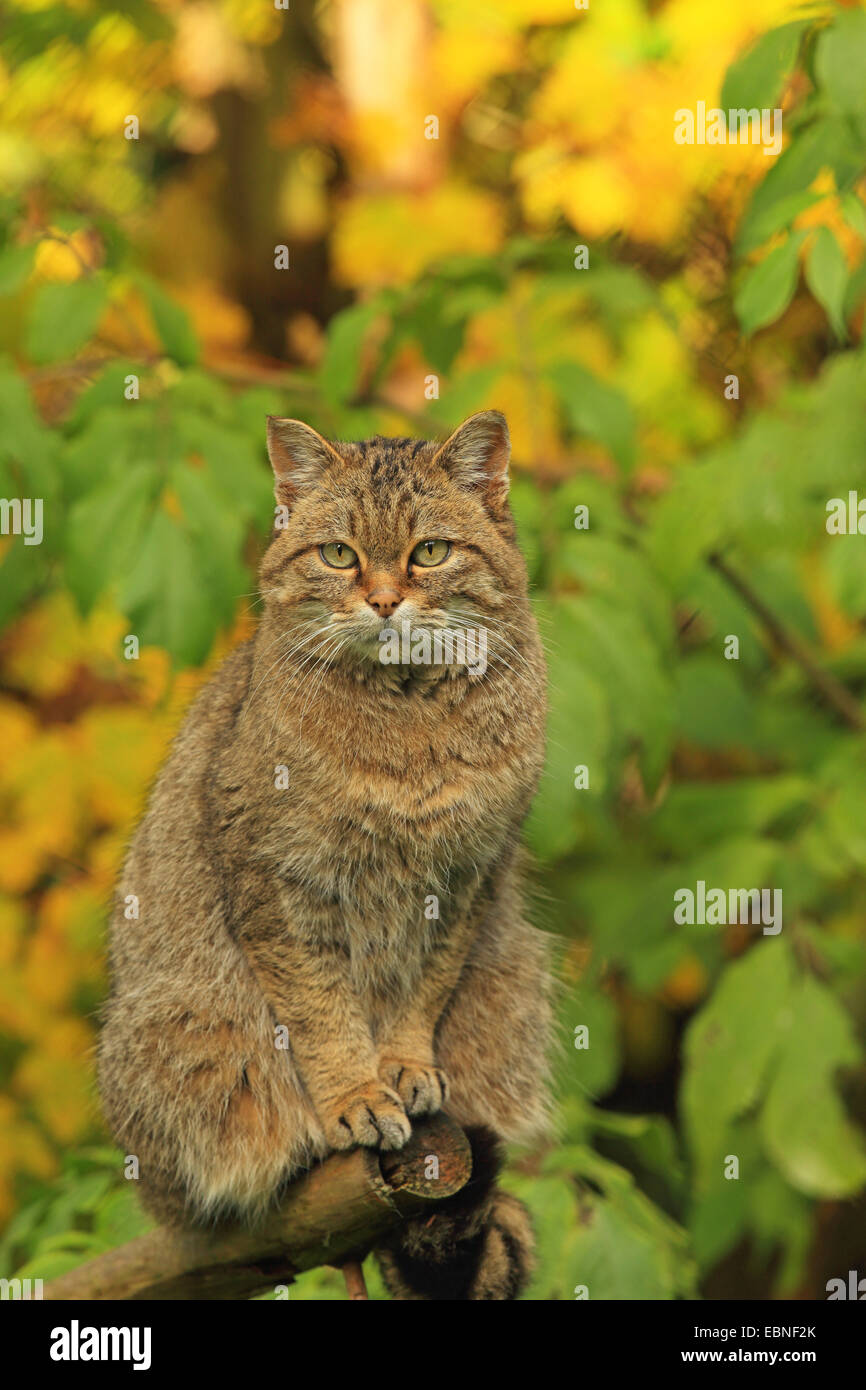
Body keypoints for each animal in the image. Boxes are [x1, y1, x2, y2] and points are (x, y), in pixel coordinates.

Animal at [96, 405, 556, 1295]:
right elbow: (320, 1009)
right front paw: (353, 1096)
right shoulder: (276, 879)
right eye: (339, 554)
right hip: (181, 1025)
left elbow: (422, 986)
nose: (381, 602)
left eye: (429, 552)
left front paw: (404, 1065)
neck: (410, 721)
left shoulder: (468, 880)